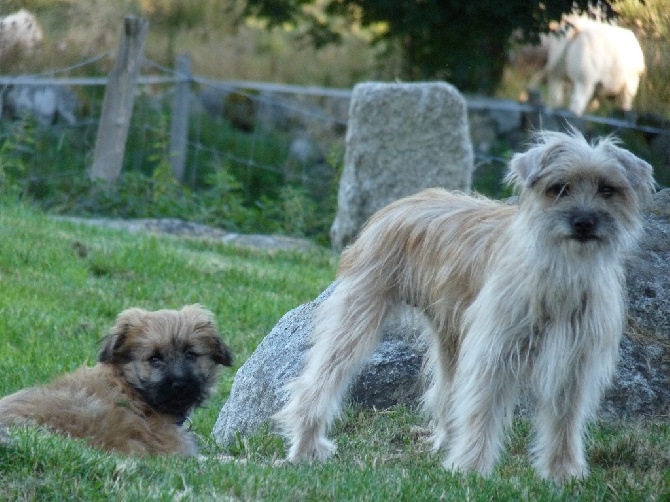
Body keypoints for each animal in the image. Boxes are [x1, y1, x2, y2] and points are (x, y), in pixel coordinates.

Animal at [276, 129, 660, 482]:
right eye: (559, 188)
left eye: (607, 189)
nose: (583, 222)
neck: (562, 270)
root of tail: (401, 203)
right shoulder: (493, 352)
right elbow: (482, 410)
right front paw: (471, 470)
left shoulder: (574, 362)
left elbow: (565, 422)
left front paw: (563, 474)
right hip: (356, 320)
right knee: (318, 383)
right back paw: (306, 448)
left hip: (449, 336)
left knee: (446, 396)